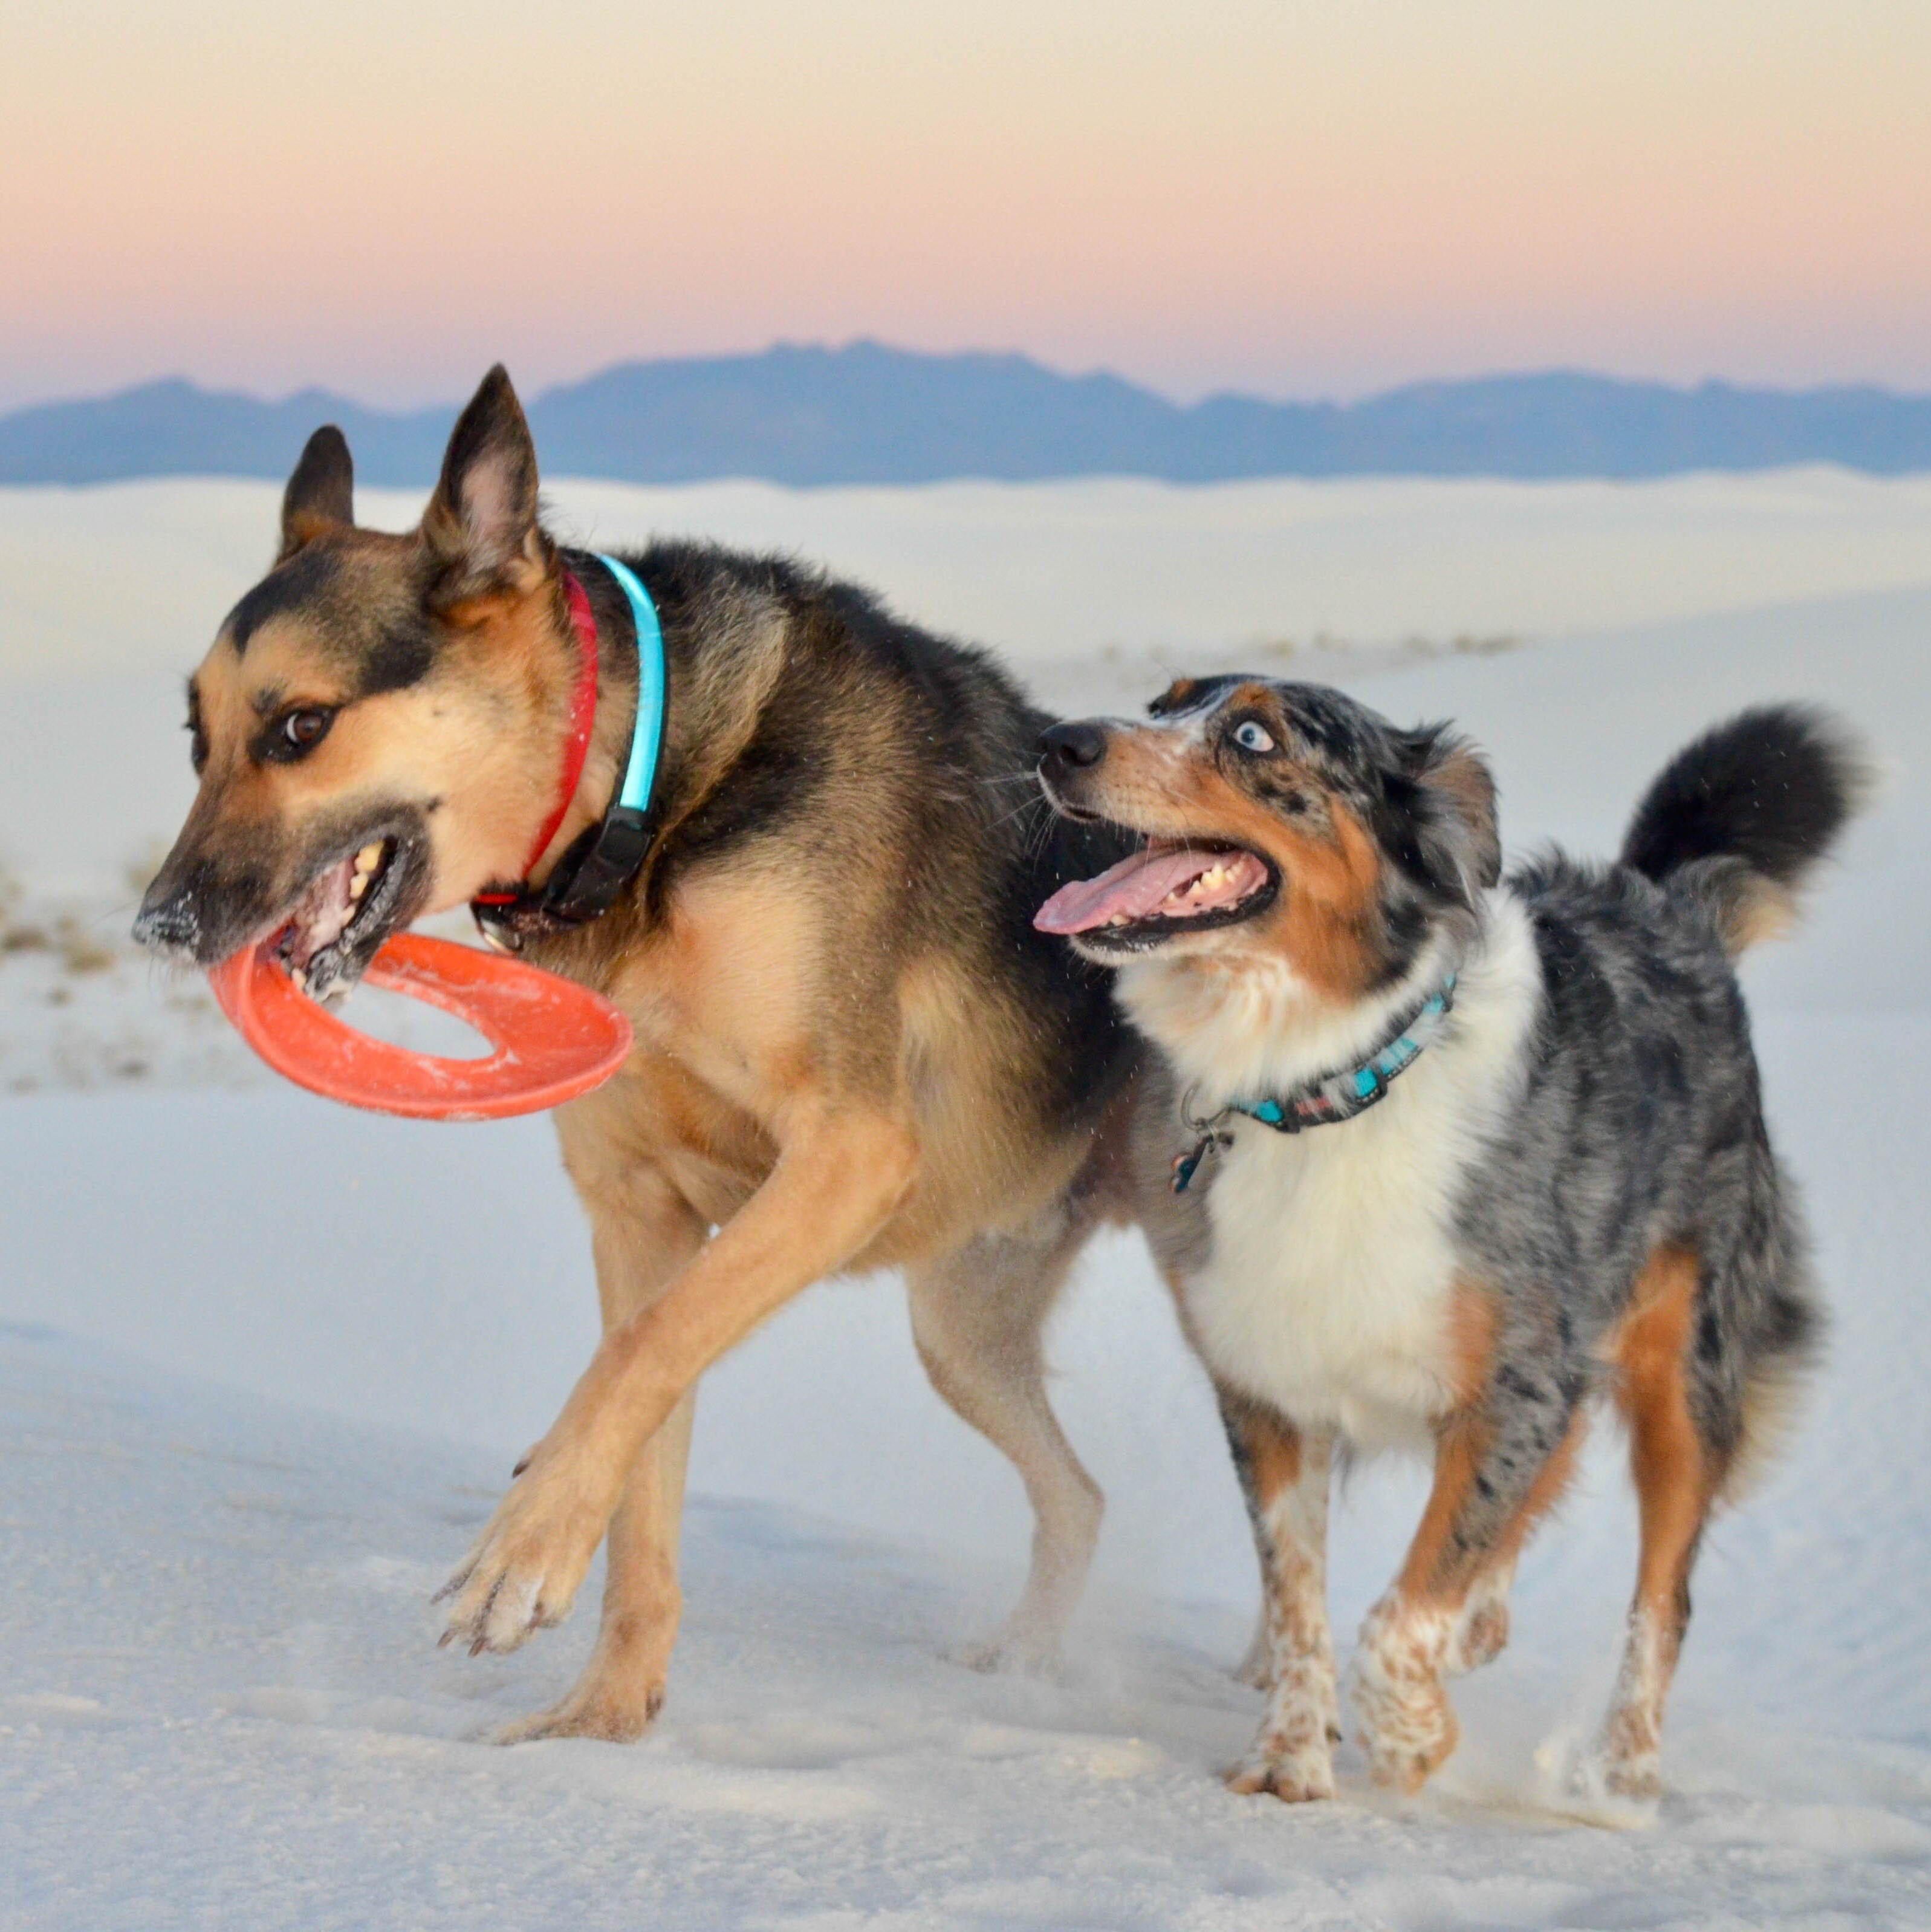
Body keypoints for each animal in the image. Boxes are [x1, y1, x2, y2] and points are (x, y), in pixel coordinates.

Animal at [140, 369, 1143, 1746]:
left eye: (300, 726)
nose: (162, 926)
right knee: (1077, 1495)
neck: (651, 794)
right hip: (965, 1328)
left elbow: (641, 1353)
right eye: (196, 742)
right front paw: (598, 1728)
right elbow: (644, 1453)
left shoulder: (844, 1153)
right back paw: (1037, 1661)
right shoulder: (643, 1210)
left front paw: (520, 1547)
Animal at [1034, 676, 1861, 1792]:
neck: (1330, 1082)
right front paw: (1289, 1759)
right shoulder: (1266, 1383)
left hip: (1686, 1364)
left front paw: (1413, 1738)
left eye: (1252, 733)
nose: (1059, 741)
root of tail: (1666, 906)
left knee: (1663, 1595)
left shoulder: (1517, 1382)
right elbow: (1298, 1596)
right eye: (1158, 701)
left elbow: (1398, 1615)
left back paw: (1617, 1778)